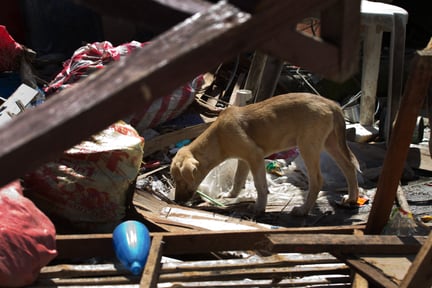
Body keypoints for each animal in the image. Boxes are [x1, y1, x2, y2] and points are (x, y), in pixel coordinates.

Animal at [170, 93, 360, 216]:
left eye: (180, 180)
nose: (177, 201)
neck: (218, 138)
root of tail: (331, 103)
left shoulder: (255, 156)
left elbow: (259, 185)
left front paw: (259, 207)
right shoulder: (244, 159)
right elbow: (238, 179)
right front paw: (230, 195)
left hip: (308, 146)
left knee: (318, 180)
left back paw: (303, 210)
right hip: (331, 143)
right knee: (349, 168)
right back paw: (351, 198)